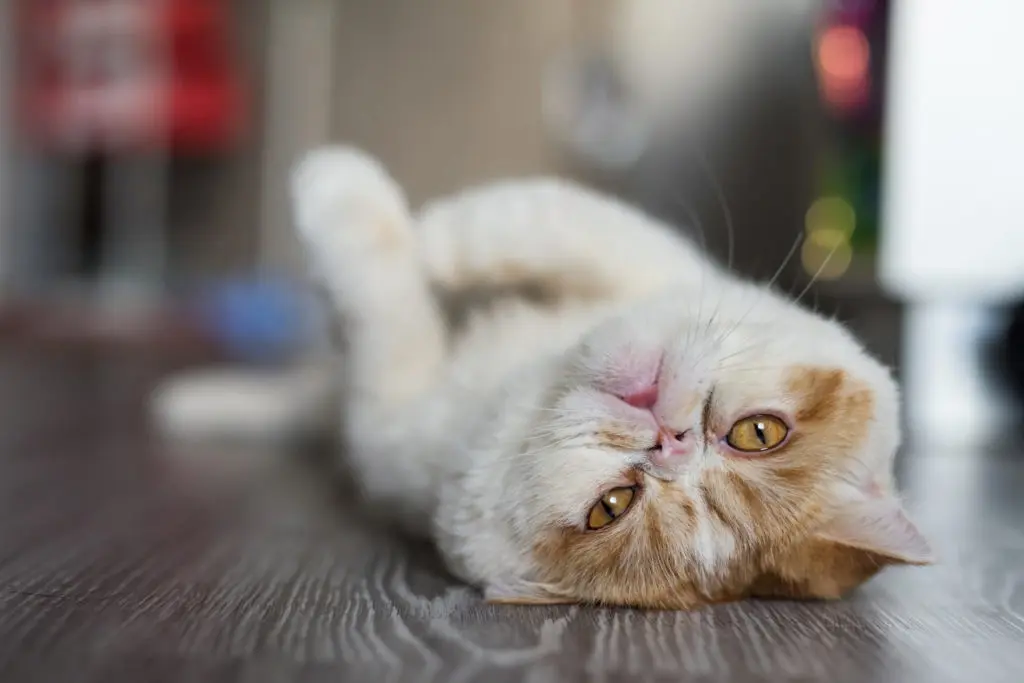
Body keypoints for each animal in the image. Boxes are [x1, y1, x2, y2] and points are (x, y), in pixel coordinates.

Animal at [266, 145, 937, 610]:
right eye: (760, 433)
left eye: (611, 506)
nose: (669, 438)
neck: (536, 367)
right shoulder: (657, 260)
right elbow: (545, 220)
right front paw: (429, 231)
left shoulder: (392, 424)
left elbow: (389, 305)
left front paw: (342, 194)